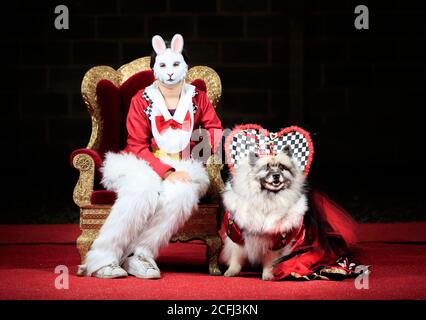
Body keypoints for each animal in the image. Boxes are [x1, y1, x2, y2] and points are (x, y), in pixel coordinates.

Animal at [221, 146, 308, 282]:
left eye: (282, 167)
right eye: (266, 167)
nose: (276, 175)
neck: (267, 199)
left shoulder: (276, 241)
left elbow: (270, 261)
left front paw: (268, 274)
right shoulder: (236, 235)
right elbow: (236, 257)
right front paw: (232, 271)